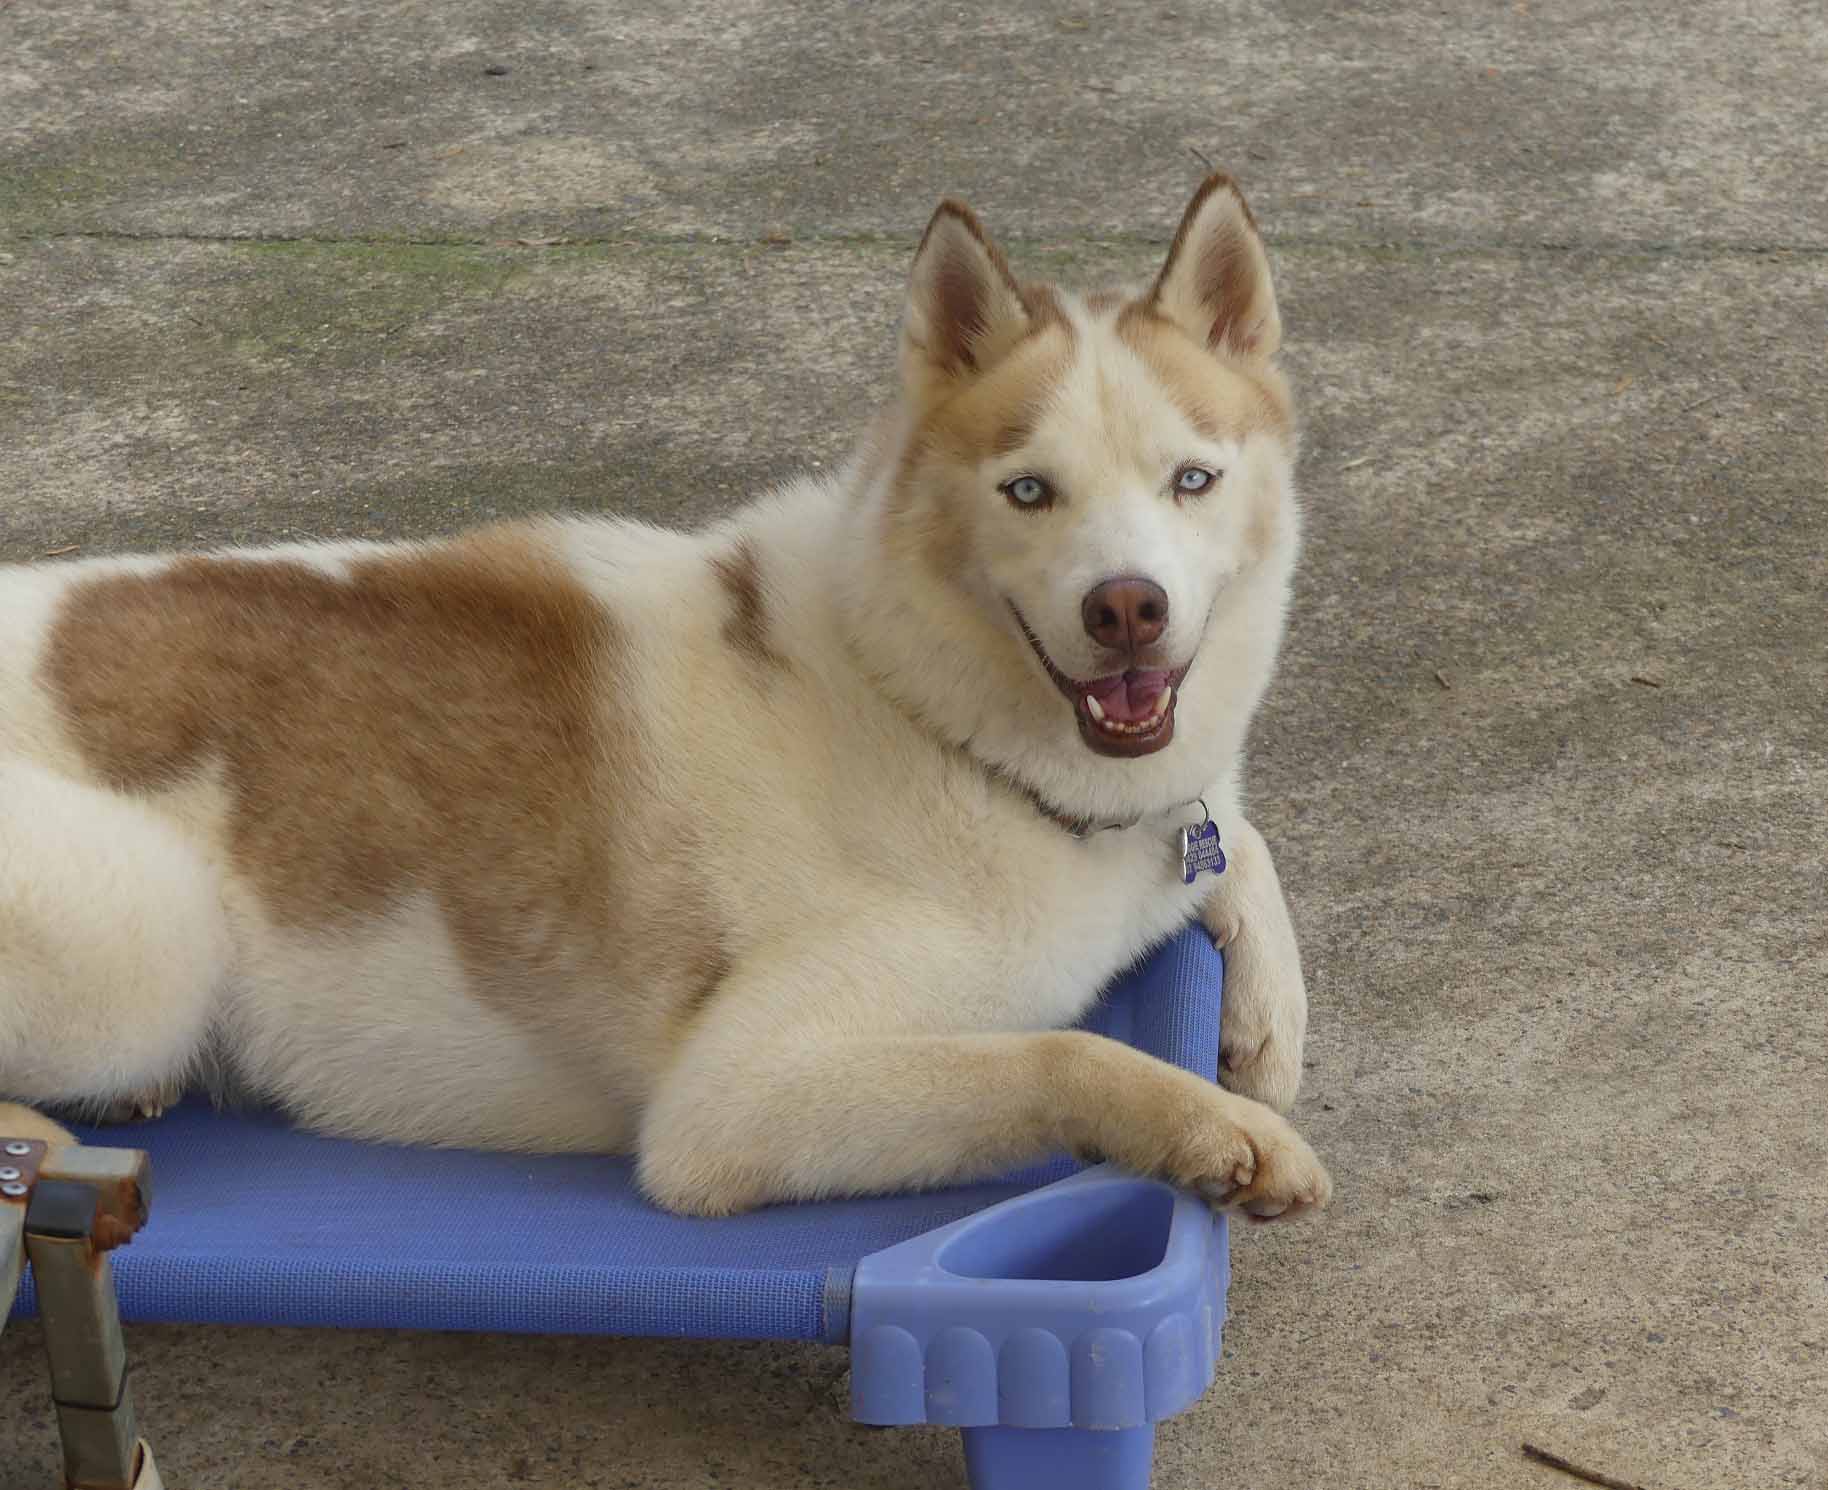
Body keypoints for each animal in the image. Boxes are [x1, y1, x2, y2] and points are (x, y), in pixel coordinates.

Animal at [0, 173, 1330, 1220]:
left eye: (1192, 478)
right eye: (1027, 490)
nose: (1127, 608)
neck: (931, 715)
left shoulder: (1173, 818)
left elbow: (1237, 839)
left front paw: (1265, 1027)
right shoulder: (732, 1105)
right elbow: (1055, 1052)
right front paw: (1212, 1126)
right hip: (148, 939)